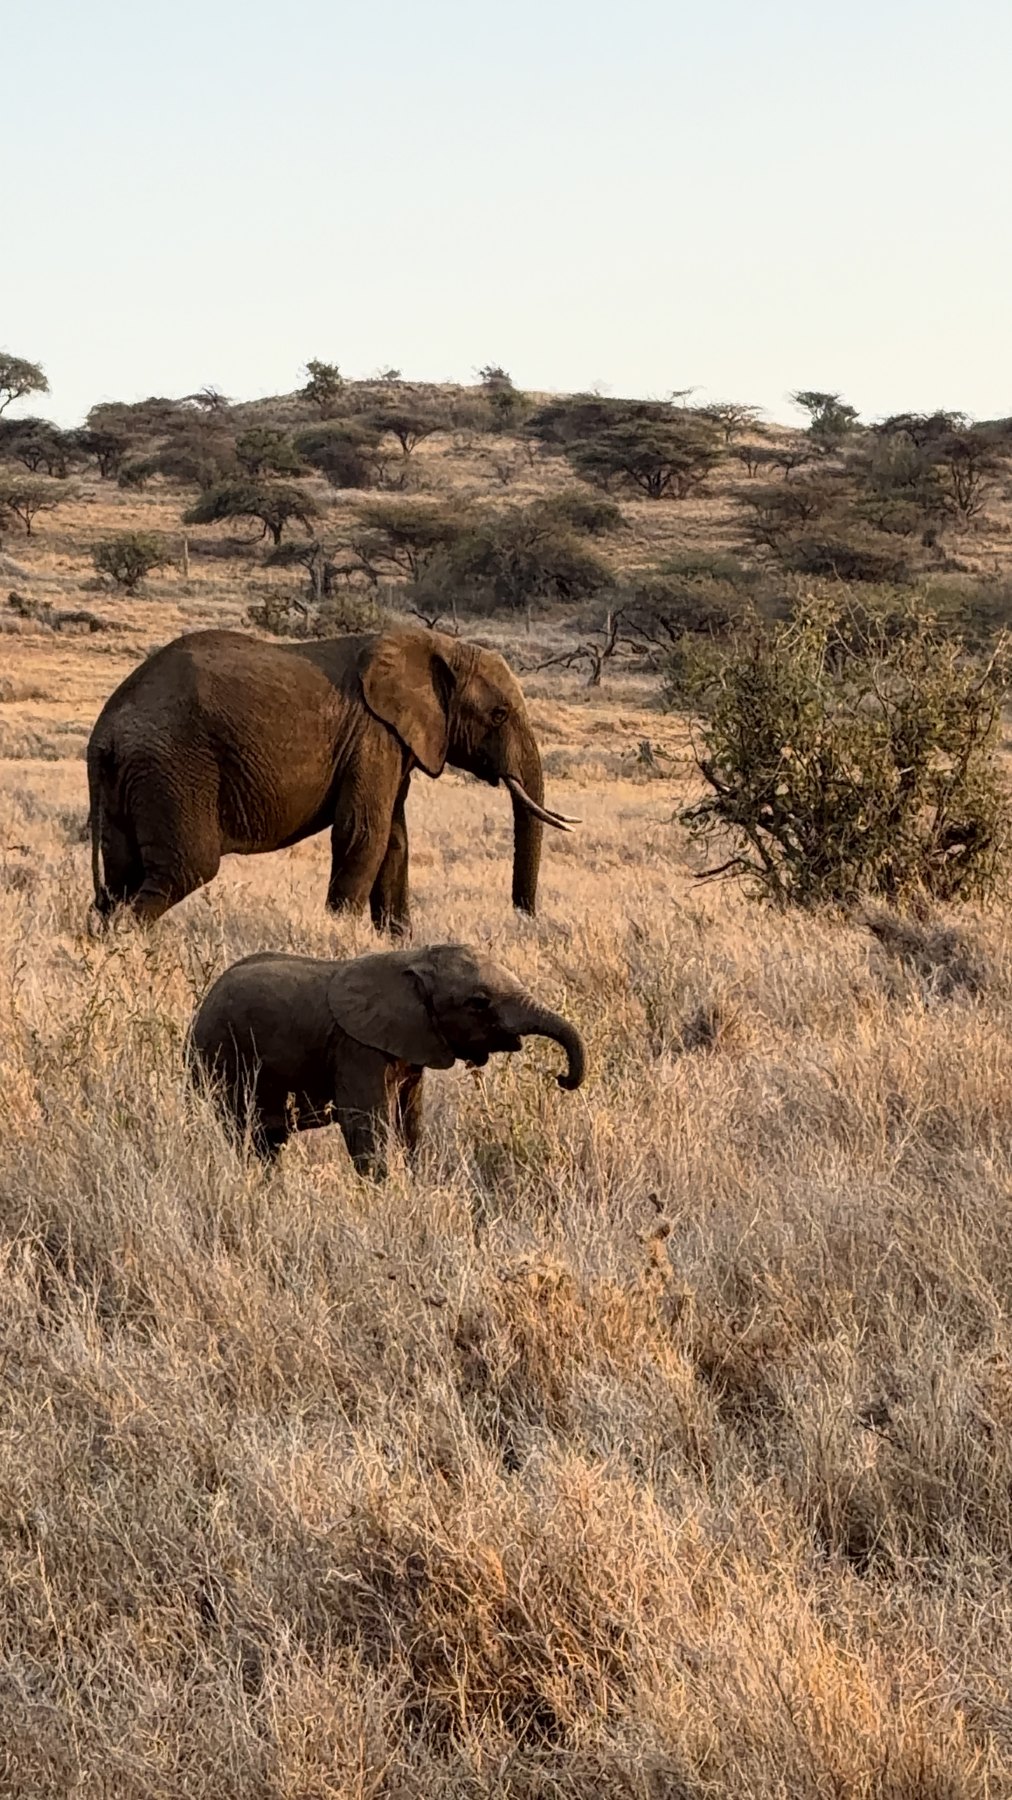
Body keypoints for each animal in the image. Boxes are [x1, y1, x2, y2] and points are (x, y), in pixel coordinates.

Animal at [87, 626, 577, 934]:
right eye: (499, 715)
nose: (524, 919)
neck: (438, 646)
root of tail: (104, 731)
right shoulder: (373, 734)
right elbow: (364, 834)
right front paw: (338, 938)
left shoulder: (394, 741)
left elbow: (394, 841)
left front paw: (398, 943)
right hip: (173, 767)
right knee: (186, 868)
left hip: (132, 777)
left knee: (121, 877)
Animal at [188, 942, 586, 1175]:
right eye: (479, 1003)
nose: (562, 1078)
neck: (412, 961)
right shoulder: (356, 1048)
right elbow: (364, 1123)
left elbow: (409, 1119)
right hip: (219, 1058)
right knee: (244, 1132)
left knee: (267, 1141)